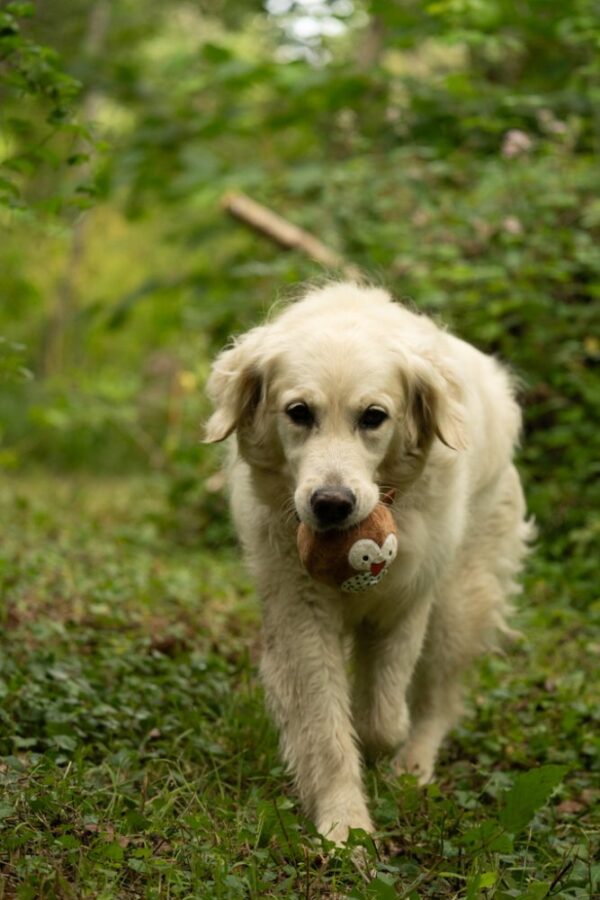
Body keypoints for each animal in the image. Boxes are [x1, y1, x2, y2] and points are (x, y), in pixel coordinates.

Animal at [205, 282, 528, 844]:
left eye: (373, 417)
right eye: (299, 412)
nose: (332, 504)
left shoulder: (407, 602)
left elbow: (382, 717)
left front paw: (377, 747)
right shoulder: (301, 610)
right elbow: (327, 726)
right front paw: (344, 825)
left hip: (459, 603)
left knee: (437, 700)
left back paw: (413, 767)